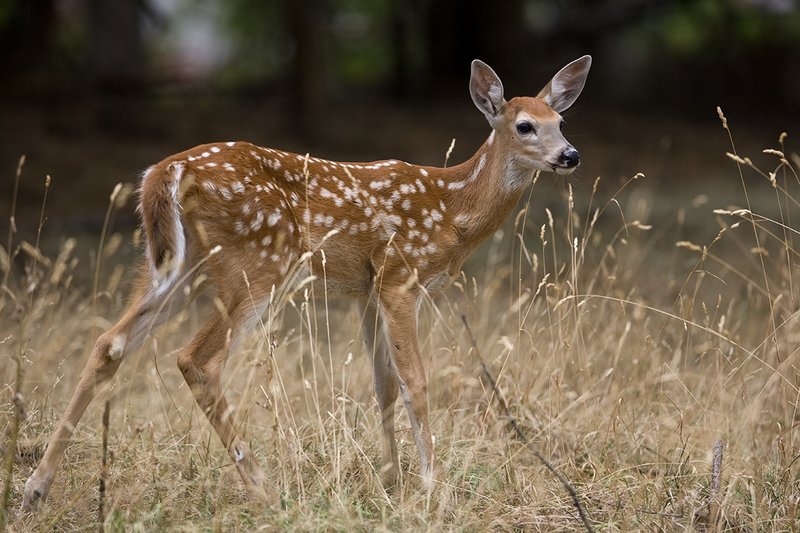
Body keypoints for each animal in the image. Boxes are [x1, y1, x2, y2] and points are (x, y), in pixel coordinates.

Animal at [22, 55, 591, 511]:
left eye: (562, 120)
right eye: (525, 125)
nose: (570, 155)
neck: (453, 210)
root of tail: (165, 172)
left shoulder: (367, 289)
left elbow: (383, 384)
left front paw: (393, 482)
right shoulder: (401, 274)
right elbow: (416, 381)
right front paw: (432, 487)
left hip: (173, 264)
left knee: (109, 342)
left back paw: (35, 488)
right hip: (257, 261)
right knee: (196, 358)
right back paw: (265, 488)